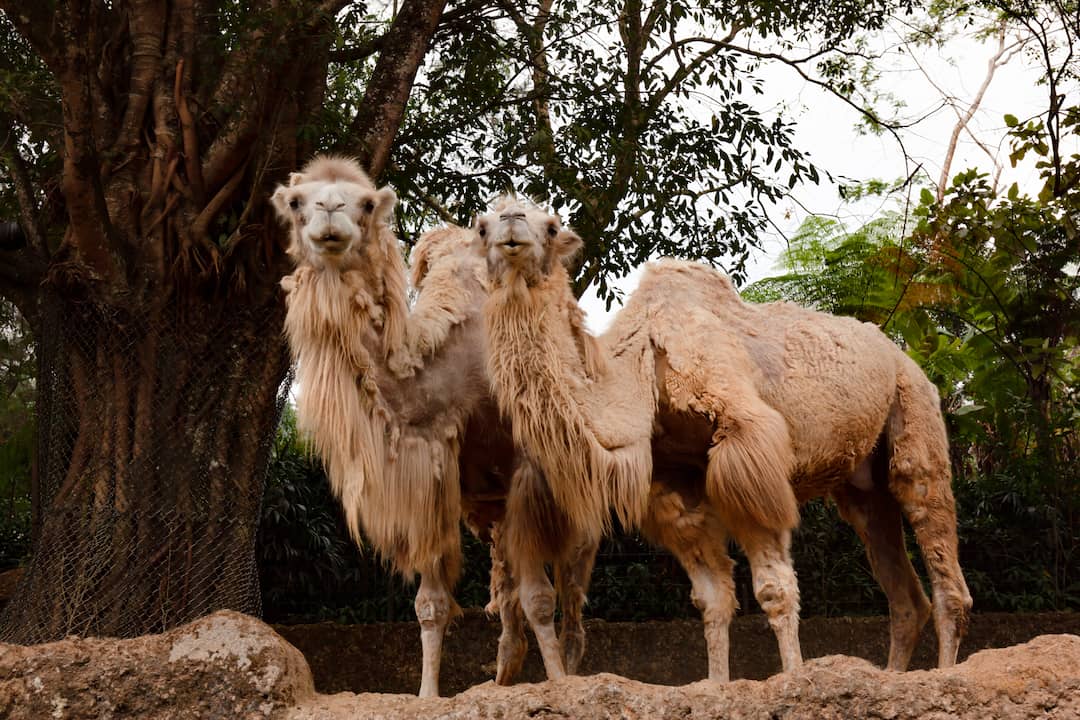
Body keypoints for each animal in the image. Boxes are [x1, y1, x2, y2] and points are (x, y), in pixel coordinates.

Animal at [272, 157, 596, 697]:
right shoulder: (429, 476)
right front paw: (427, 694)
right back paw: (504, 675)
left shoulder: (527, 471)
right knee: (506, 581)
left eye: (365, 203)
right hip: (488, 504)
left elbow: (540, 597)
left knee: (571, 580)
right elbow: (431, 605)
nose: (330, 214)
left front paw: (556, 684)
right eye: (297, 201)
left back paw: (569, 665)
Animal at [475, 197, 973, 681]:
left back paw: (946, 674)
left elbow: (774, 589)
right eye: (483, 226)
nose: (512, 226)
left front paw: (795, 680)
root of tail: (903, 358)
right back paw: (892, 677)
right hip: (862, 485)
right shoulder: (674, 487)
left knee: (936, 541)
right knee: (903, 591)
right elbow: (711, 599)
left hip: (914, 414)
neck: (639, 372)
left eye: (552, 226)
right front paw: (717, 684)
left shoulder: (748, 452)